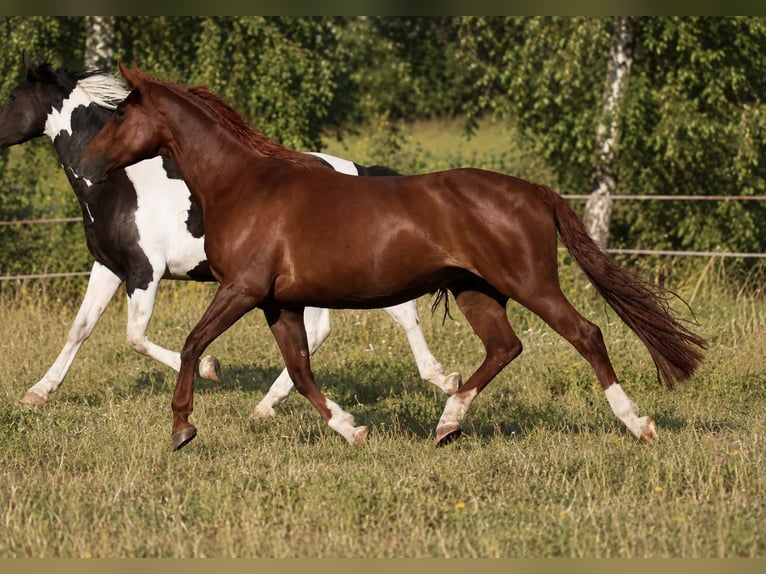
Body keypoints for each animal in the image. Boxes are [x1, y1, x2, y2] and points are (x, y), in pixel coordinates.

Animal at [0, 52, 460, 413]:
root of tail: (358, 171)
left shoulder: (145, 272)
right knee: (358, 321)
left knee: (376, 319)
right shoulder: (109, 267)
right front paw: (37, 392)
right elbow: (80, 328)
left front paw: (209, 368)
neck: (120, 185)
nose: (88, 166)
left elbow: (136, 337)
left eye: (11, 97)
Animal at [79, 63, 707, 452]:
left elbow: (192, 345)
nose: (85, 165)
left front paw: (182, 428)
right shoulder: (277, 303)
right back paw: (448, 421)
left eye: (120, 114)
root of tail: (534, 191)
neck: (244, 185)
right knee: (505, 347)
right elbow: (301, 370)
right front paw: (350, 429)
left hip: (530, 283)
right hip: (477, 291)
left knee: (586, 334)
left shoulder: (242, 290)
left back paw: (638, 424)